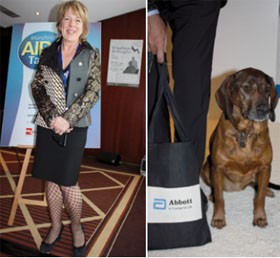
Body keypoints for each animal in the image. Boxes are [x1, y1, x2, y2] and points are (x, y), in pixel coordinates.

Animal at [201, 67, 278, 229]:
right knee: (215, 189)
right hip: (206, 169)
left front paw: (260, 217)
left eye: (268, 89)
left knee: (257, 187)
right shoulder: (217, 168)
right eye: (246, 88)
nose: (265, 109)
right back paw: (211, 194)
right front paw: (218, 218)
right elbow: (220, 198)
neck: (246, 132)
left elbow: (260, 197)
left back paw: (267, 190)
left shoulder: (265, 167)